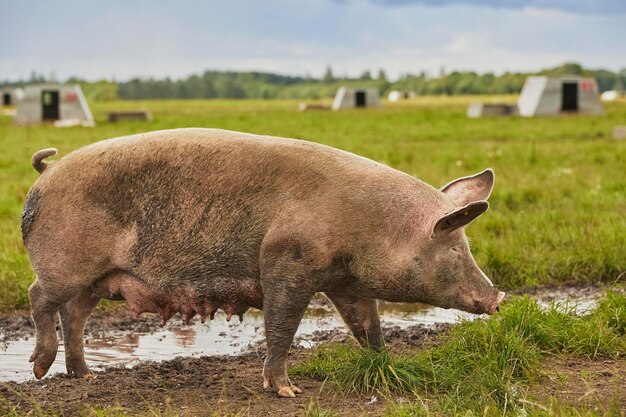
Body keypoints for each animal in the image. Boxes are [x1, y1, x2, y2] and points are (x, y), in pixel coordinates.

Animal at [22, 128, 504, 394]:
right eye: (456, 248)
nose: (499, 298)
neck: (371, 228)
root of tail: (47, 172)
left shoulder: (344, 282)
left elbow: (367, 325)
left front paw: (384, 362)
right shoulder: (287, 262)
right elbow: (282, 324)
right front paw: (287, 390)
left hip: (98, 278)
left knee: (74, 315)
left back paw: (85, 377)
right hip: (66, 265)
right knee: (39, 297)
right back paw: (41, 368)